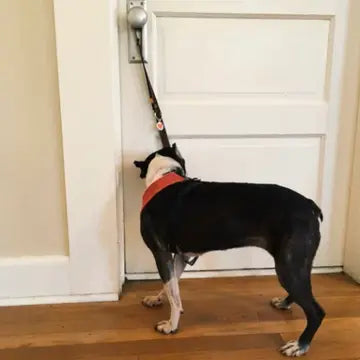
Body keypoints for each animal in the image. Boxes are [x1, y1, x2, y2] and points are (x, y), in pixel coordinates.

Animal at [135, 144, 326, 358]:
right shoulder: (180, 257)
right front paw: (157, 299)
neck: (164, 175)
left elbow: (172, 292)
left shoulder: (161, 253)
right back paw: (285, 304)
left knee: (316, 312)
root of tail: (310, 206)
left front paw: (171, 325)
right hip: (296, 265)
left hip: (288, 266)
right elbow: (172, 285)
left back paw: (300, 345)